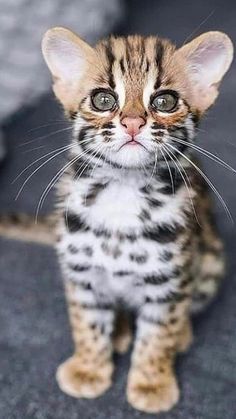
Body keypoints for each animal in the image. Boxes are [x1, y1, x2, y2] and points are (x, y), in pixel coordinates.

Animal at [42, 28, 232, 414]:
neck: (123, 189)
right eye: (103, 100)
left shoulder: (169, 280)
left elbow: (158, 333)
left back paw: (180, 335)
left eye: (164, 101)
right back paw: (119, 331)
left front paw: (151, 382)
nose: (133, 122)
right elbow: (87, 322)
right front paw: (89, 367)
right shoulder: (80, 270)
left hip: (212, 261)